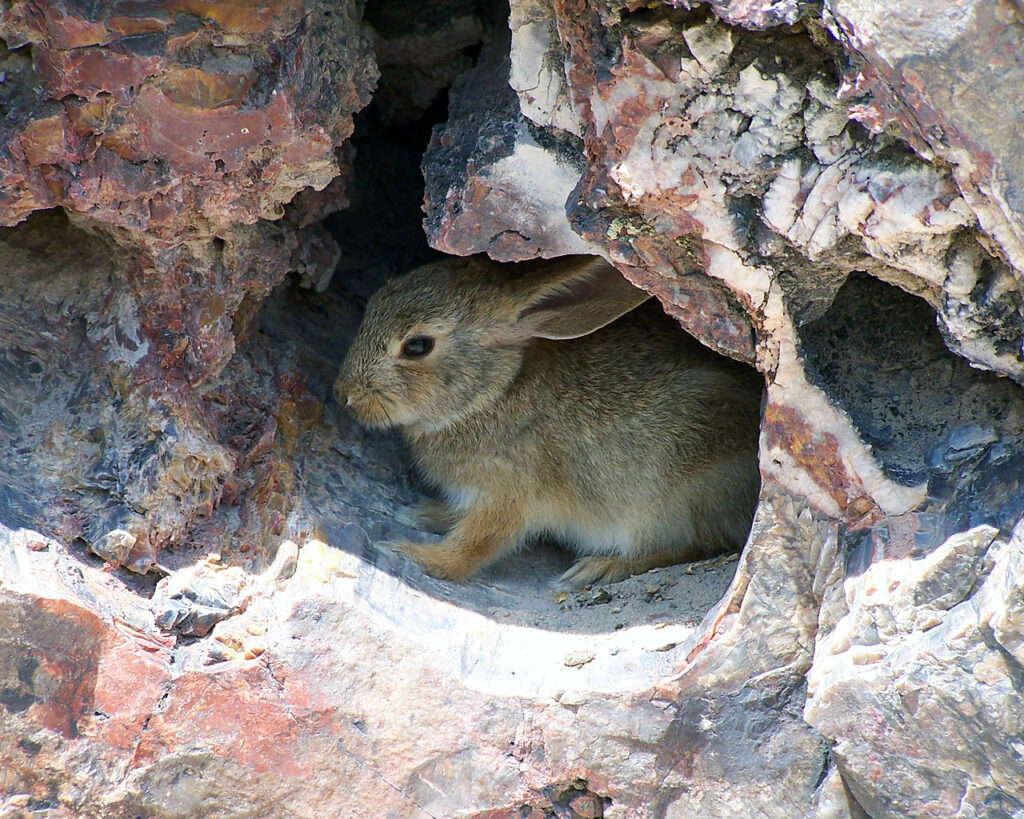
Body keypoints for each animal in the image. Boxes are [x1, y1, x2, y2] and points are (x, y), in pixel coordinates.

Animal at [331, 255, 765, 589]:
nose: (344, 396)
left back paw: (598, 567)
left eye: (418, 346)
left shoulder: (509, 495)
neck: (493, 392)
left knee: (698, 544)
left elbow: (471, 548)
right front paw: (423, 514)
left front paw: (410, 553)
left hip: (677, 495)